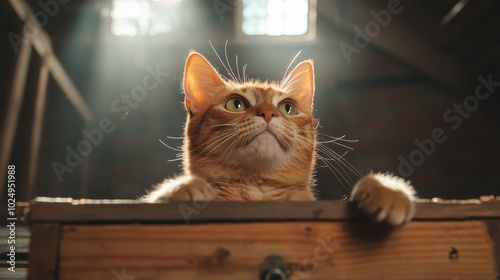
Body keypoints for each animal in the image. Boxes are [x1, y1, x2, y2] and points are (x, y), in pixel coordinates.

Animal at [142, 50, 414, 225]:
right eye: (236, 104)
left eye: (287, 108)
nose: (268, 113)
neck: (258, 190)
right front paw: (181, 187)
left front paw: (388, 190)